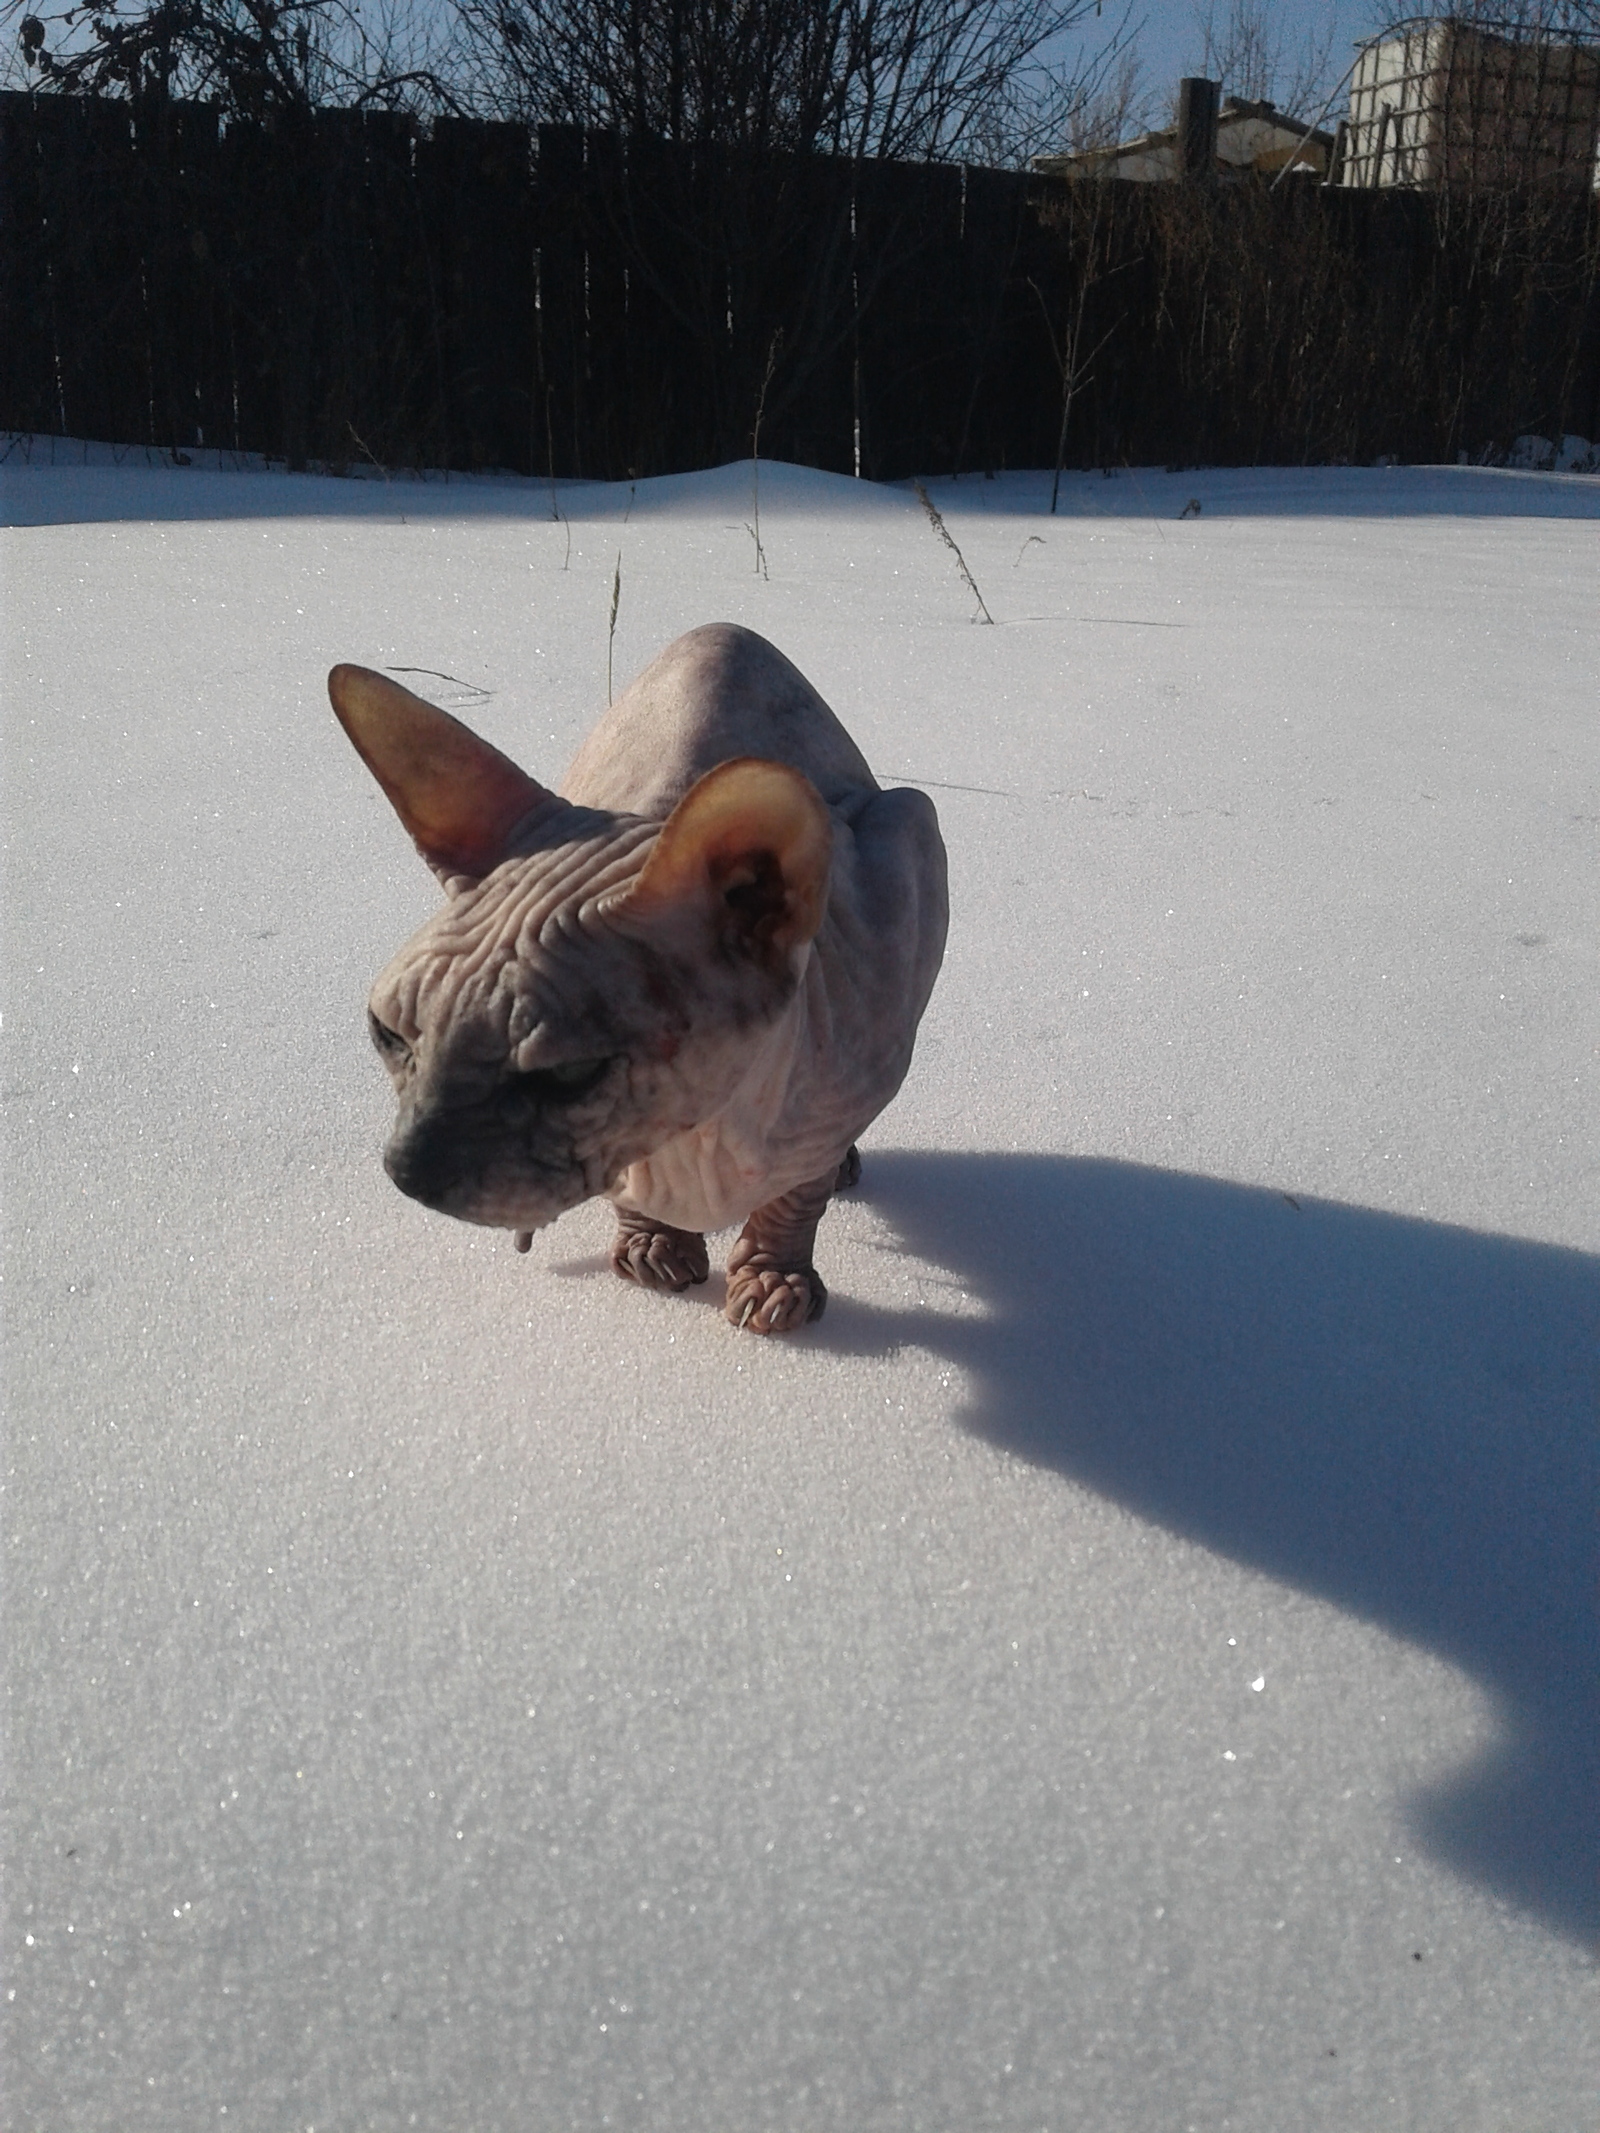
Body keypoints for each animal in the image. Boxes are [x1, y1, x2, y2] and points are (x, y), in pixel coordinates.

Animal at [330, 618, 947, 1339]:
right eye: (390, 1035)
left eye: (569, 1074)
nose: (407, 1171)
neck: (696, 1138)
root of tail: (726, 630)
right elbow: (625, 1182)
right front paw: (653, 1244)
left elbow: (797, 1194)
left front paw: (774, 1281)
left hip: (909, 821)